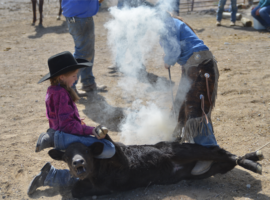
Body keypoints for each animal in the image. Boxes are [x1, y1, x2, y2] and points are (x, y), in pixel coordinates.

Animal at [48, 134, 264, 198]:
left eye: (86, 151)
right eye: (66, 156)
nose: (78, 162)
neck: (97, 175)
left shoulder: (123, 160)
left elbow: (114, 146)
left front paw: (101, 132)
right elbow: (76, 190)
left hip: (183, 151)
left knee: (221, 152)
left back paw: (254, 159)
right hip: (202, 172)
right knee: (225, 161)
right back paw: (252, 162)